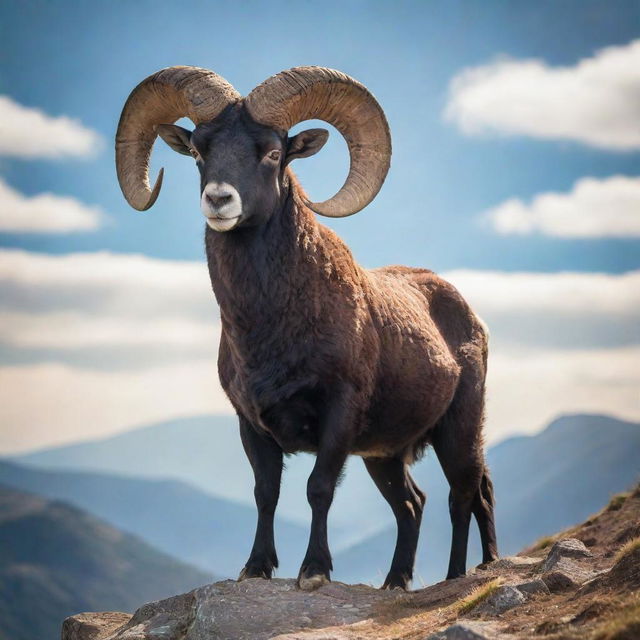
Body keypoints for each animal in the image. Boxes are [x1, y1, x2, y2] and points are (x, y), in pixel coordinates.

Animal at [116, 65, 500, 592]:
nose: (219, 200)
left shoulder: (338, 415)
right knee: (412, 504)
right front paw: (256, 567)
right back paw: (395, 582)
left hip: (458, 431)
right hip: (384, 456)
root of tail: (469, 317)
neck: (272, 332)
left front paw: (313, 571)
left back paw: (465, 572)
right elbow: (266, 493)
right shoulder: (251, 425)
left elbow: (318, 490)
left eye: (273, 153)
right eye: (198, 151)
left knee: (467, 496)